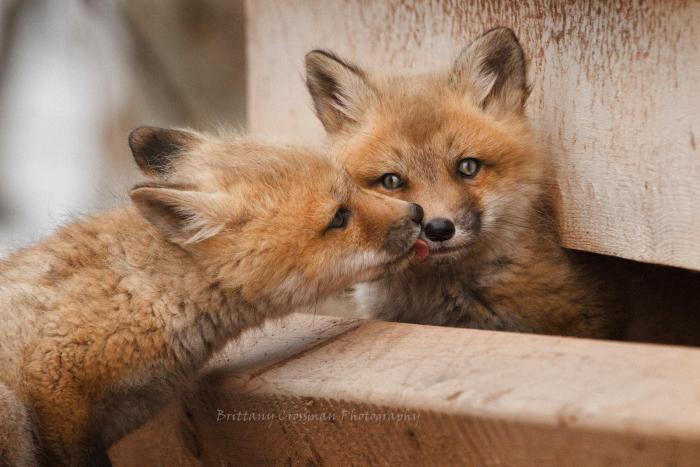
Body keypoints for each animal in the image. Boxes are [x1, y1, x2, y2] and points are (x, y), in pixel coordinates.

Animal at [0, 126, 423, 466]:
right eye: (338, 217)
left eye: (352, 184)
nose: (418, 213)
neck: (149, 292)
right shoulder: (55, 376)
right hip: (13, 420)